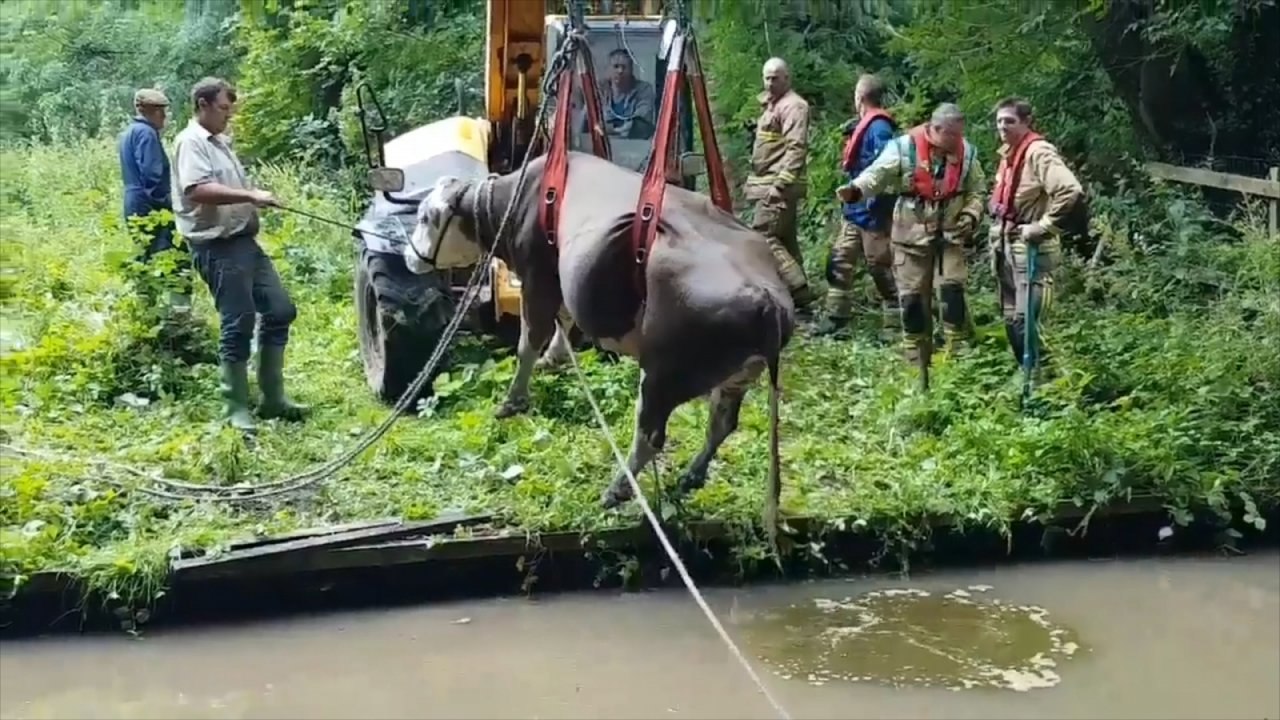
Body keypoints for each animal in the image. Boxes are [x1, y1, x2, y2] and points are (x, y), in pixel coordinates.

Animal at [404, 150, 795, 551]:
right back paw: (691, 476)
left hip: (663, 375)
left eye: (424, 217)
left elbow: (530, 339)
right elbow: (563, 320)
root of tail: (768, 298)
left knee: (651, 436)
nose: (408, 256)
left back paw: (617, 489)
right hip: (735, 377)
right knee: (721, 423)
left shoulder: (537, 275)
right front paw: (553, 359)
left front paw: (512, 401)